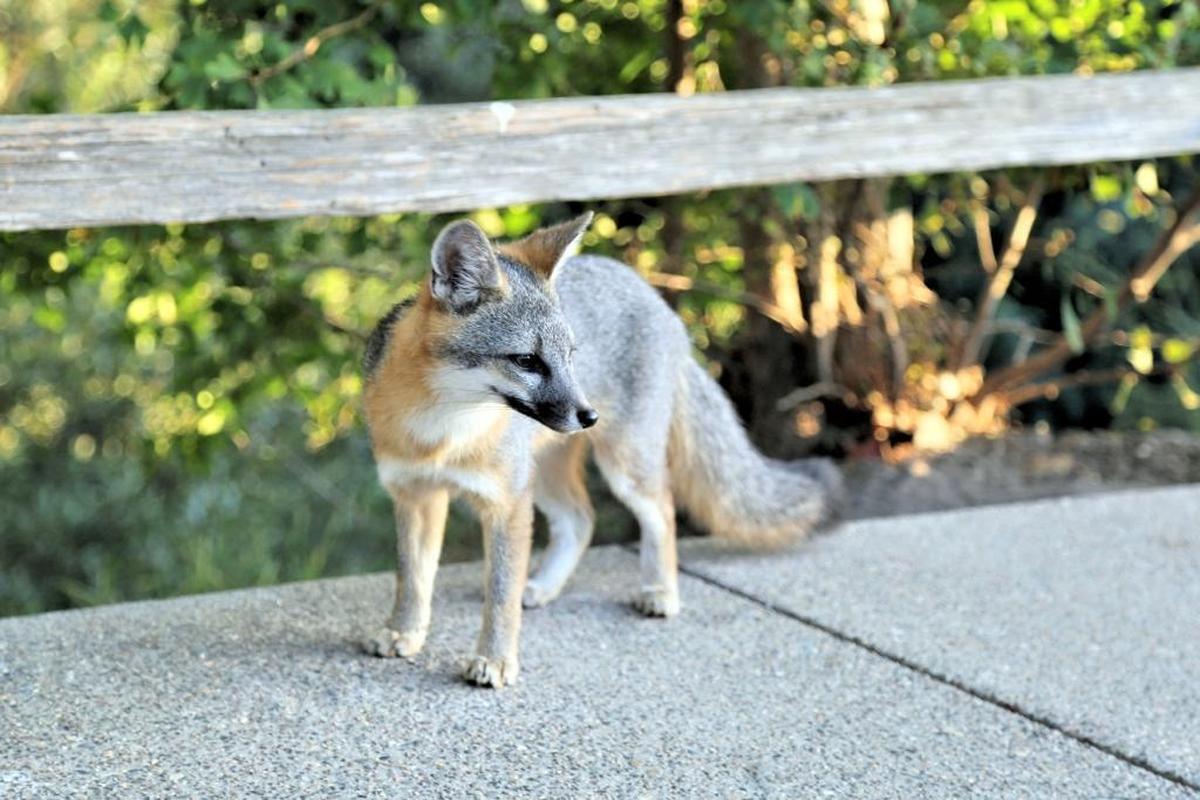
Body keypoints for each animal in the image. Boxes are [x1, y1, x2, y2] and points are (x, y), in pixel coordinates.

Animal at [361, 211, 842, 688]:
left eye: (571, 356)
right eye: (527, 361)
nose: (588, 415)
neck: (441, 430)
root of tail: (653, 296)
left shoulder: (506, 503)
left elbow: (499, 596)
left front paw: (495, 660)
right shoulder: (415, 495)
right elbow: (412, 578)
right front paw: (403, 632)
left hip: (622, 468)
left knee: (662, 510)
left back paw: (659, 591)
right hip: (546, 476)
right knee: (581, 519)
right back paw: (542, 587)